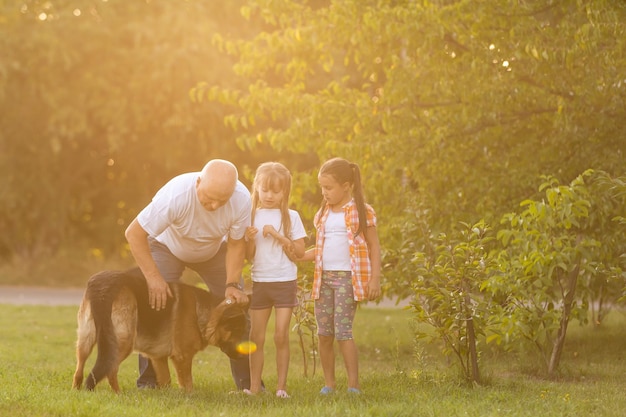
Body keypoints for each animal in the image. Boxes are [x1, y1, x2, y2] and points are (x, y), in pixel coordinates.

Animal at [72, 268, 247, 392]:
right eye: (237, 331)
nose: (246, 355)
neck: (203, 312)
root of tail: (104, 285)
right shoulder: (182, 358)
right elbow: (188, 384)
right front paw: (188, 398)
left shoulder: (158, 358)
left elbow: (166, 381)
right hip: (123, 341)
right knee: (111, 369)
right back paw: (118, 394)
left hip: (86, 339)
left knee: (79, 368)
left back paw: (78, 391)